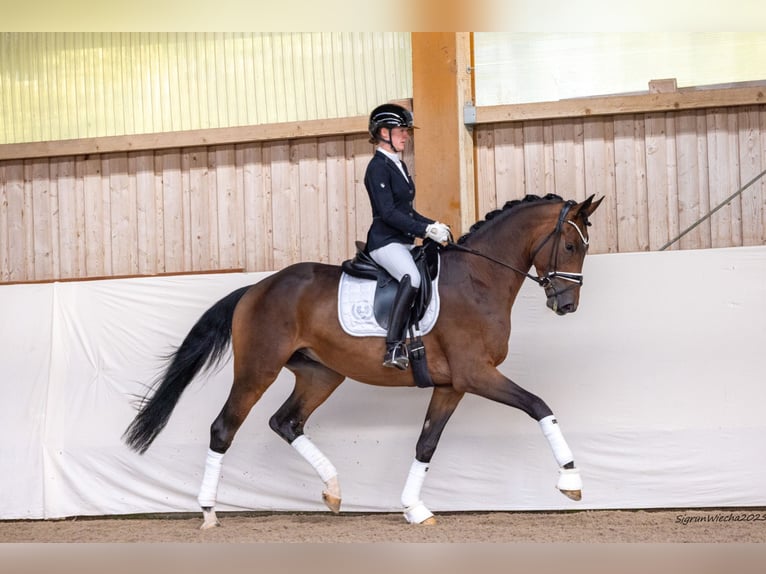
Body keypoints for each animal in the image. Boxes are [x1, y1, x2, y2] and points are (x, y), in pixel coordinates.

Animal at [123, 193, 603, 528]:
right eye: (570, 246)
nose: (567, 305)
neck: (479, 278)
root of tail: (257, 288)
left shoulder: (452, 385)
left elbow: (426, 444)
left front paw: (414, 509)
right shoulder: (477, 374)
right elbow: (540, 406)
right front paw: (571, 482)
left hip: (321, 374)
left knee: (286, 422)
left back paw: (334, 491)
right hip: (258, 370)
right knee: (224, 428)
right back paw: (208, 512)